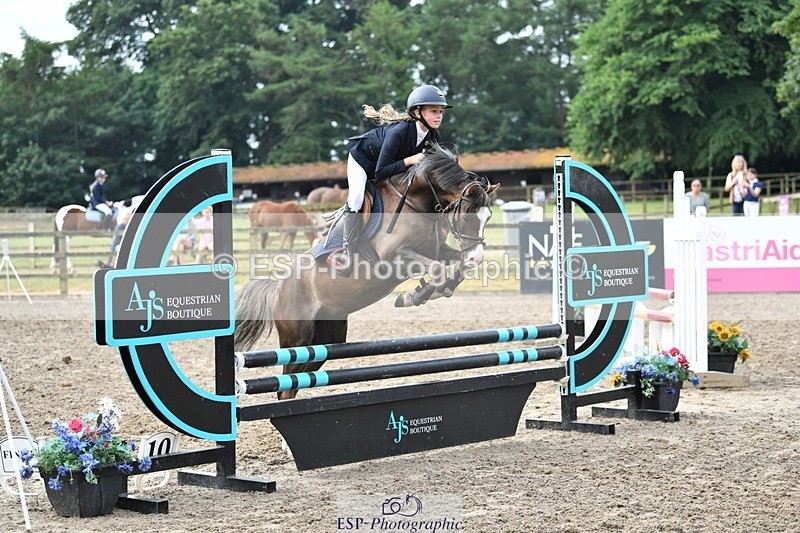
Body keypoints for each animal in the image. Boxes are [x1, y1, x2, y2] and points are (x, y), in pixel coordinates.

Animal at [235, 143, 499, 400]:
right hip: (297, 336)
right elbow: (435, 269)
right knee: (286, 384)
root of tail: (279, 287)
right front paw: (415, 296)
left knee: (296, 379)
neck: (417, 202)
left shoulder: (436, 249)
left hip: (325, 339)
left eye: (488, 217)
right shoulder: (393, 258)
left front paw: (438, 288)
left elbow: (457, 266)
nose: (476, 254)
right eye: (468, 217)